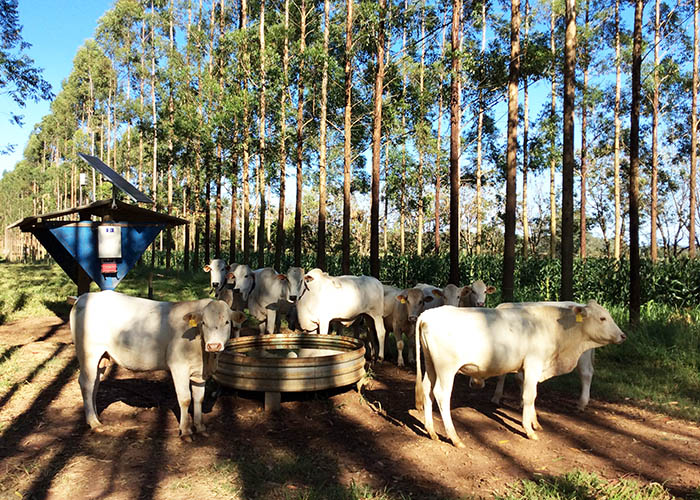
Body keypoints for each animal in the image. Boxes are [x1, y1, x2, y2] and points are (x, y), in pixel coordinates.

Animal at [71, 292, 246, 440]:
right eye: (203, 322)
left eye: (227, 322)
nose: (214, 345)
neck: (205, 356)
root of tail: (84, 297)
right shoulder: (178, 366)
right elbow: (185, 399)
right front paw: (186, 431)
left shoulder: (199, 372)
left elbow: (199, 398)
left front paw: (200, 427)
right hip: (89, 352)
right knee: (86, 383)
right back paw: (94, 422)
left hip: (103, 357)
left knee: (95, 383)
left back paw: (95, 417)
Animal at [412, 298, 628, 448]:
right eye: (602, 318)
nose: (623, 335)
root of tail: (428, 315)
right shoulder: (533, 363)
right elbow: (530, 395)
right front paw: (529, 430)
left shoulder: (529, 368)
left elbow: (529, 394)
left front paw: (534, 422)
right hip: (446, 368)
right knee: (441, 395)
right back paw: (454, 437)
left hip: (431, 365)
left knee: (428, 391)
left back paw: (431, 431)